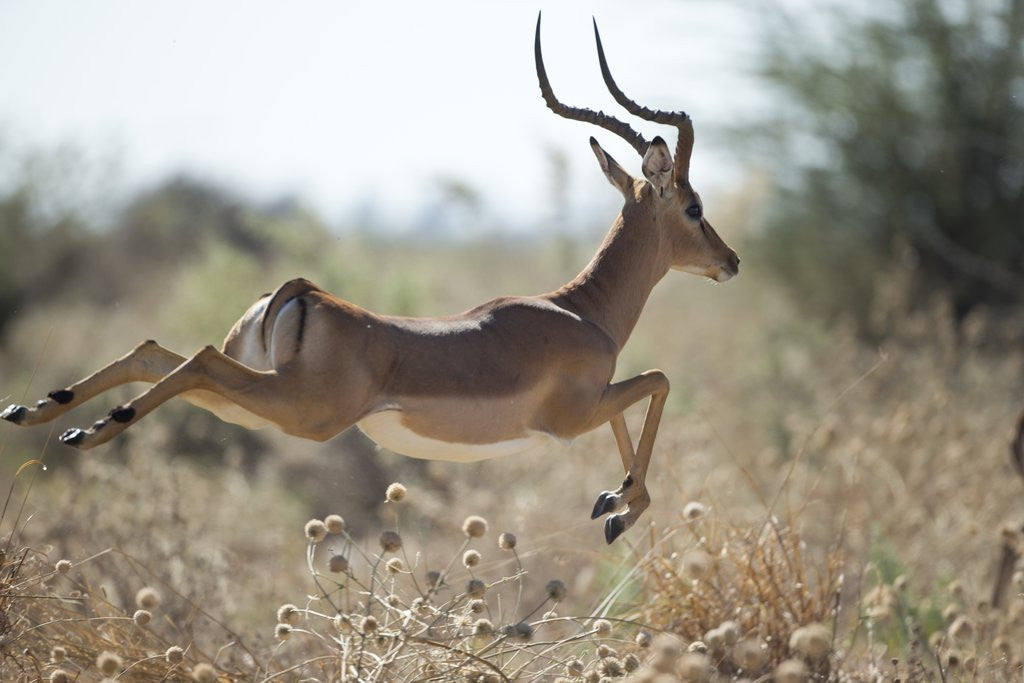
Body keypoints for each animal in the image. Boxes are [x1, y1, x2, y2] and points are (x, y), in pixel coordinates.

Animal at [1, 15, 738, 543]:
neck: (581, 311)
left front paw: (614, 504)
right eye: (694, 206)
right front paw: (621, 505)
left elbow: (639, 403)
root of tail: (302, 293)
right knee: (198, 359)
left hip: (257, 396)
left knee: (156, 352)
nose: (730, 261)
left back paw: (43, 413)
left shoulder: (591, 407)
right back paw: (94, 428)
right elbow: (658, 381)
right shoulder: (575, 414)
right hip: (301, 410)